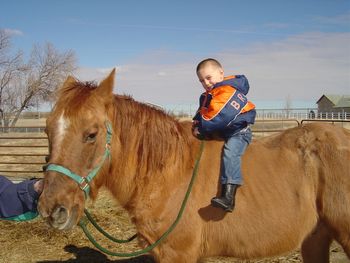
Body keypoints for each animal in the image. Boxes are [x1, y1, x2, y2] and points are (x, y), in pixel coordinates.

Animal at [37, 70, 350, 263]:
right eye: (47, 130)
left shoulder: (179, 254)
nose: (52, 208)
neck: (168, 174)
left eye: (91, 134)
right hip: (314, 239)